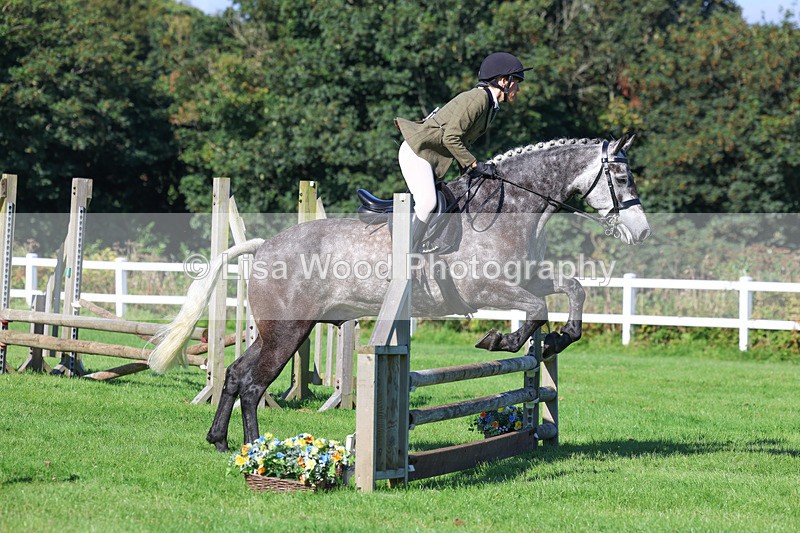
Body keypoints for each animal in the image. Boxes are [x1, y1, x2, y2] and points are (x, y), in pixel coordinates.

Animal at [149, 134, 651, 452]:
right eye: (623, 179)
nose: (642, 232)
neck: (510, 206)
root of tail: (266, 244)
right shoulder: (486, 286)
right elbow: (536, 308)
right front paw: (501, 340)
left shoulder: (525, 276)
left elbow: (571, 289)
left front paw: (560, 339)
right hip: (287, 331)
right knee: (253, 383)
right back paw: (255, 450)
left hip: (281, 329)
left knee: (235, 375)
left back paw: (220, 442)